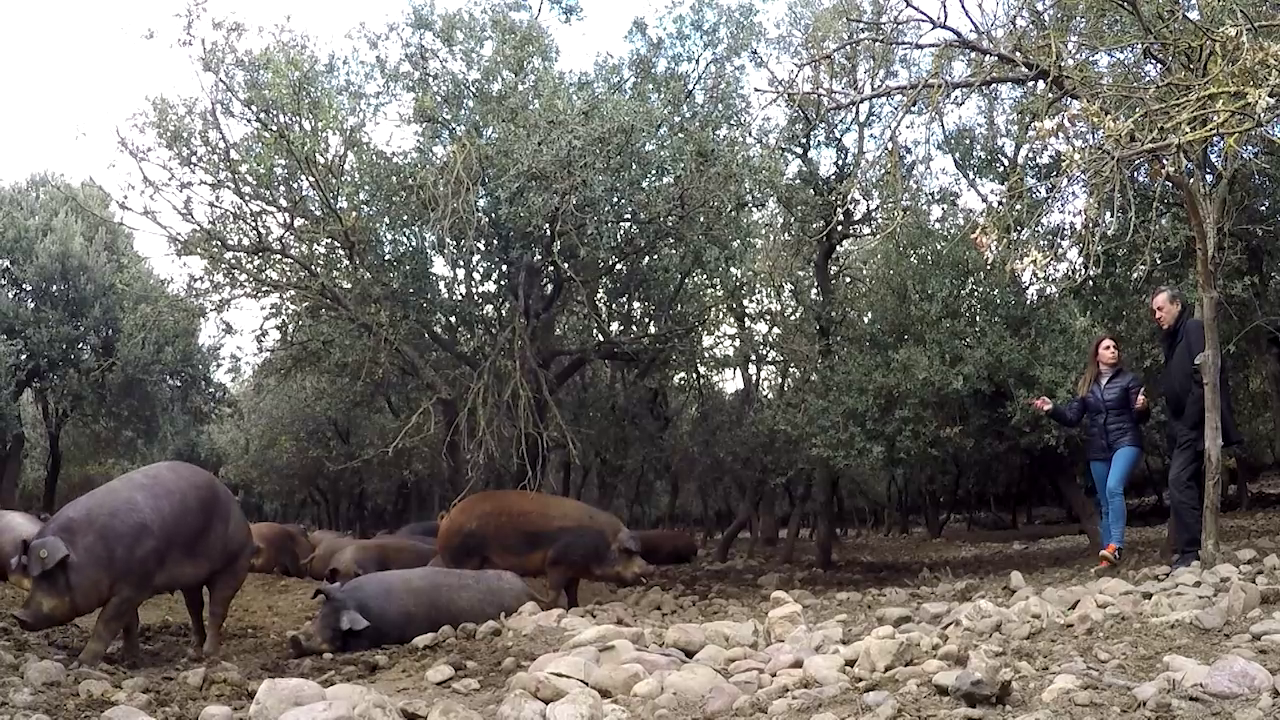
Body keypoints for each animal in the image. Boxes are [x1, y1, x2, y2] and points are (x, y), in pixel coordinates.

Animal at [11, 461, 254, 667]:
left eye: (50, 575)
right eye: (33, 576)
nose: (18, 615)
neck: (90, 552)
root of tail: (241, 517)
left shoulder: (133, 586)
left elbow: (106, 623)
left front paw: (80, 665)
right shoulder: (127, 589)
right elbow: (129, 623)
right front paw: (129, 661)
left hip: (234, 564)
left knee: (217, 609)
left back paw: (209, 655)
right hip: (191, 580)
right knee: (195, 607)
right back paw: (191, 653)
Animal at [433, 490, 653, 609]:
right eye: (629, 552)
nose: (651, 567)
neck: (602, 544)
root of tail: (446, 519)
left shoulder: (574, 569)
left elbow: (572, 591)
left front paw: (575, 607)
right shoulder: (557, 561)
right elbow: (554, 590)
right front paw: (548, 606)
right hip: (464, 557)